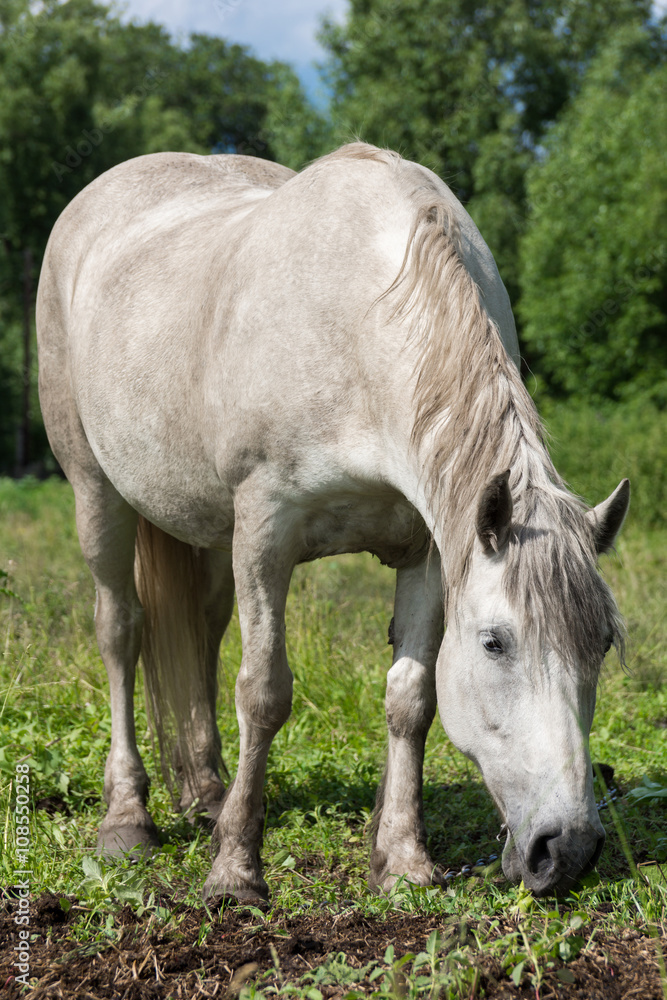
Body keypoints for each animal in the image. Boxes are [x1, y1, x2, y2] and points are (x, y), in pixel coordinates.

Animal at [37, 145, 632, 904]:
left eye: (600, 644)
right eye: (495, 644)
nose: (568, 850)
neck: (360, 325)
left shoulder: (431, 547)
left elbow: (411, 698)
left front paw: (403, 860)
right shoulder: (265, 528)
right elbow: (263, 693)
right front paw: (235, 872)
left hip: (208, 531)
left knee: (200, 630)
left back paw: (207, 795)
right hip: (97, 494)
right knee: (121, 631)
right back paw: (127, 819)